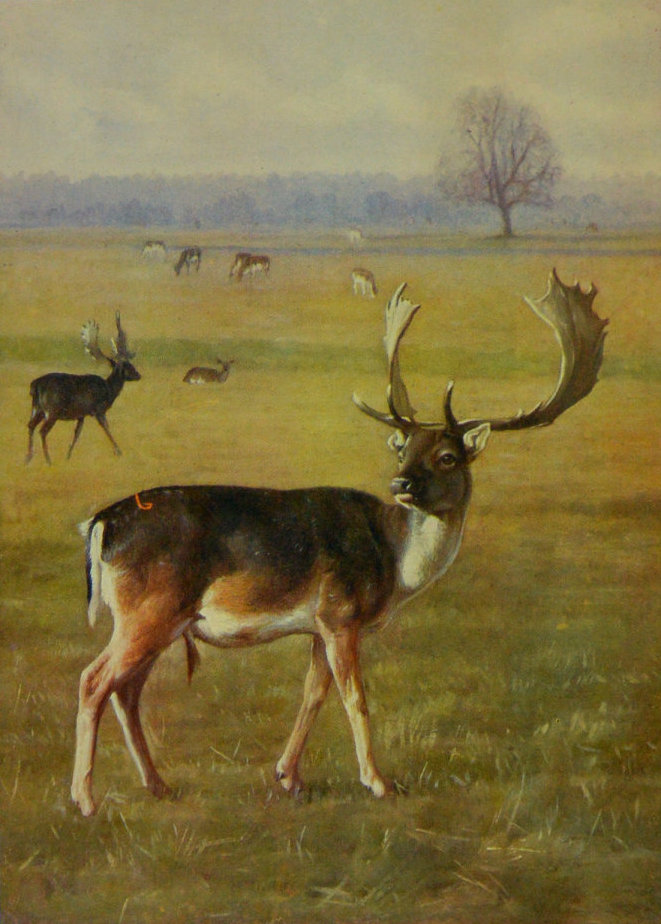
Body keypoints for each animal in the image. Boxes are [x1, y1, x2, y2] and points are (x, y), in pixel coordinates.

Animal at [26, 313, 140, 465]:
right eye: (128, 366)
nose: (139, 375)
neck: (109, 390)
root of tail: (35, 385)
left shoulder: (81, 414)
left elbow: (77, 434)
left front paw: (68, 455)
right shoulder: (98, 409)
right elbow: (107, 428)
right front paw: (119, 451)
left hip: (37, 408)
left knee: (30, 426)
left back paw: (28, 458)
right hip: (52, 410)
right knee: (42, 431)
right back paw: (48, 460)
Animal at [70, 270, 607, 817]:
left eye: (448, 456)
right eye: (401, 448)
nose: (401, 483)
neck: (394, 562)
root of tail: (100, 523)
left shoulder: (317, 625)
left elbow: (313, 694)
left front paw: (288, 776)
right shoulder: (341, 614)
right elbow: (356, 699)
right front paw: (378, 782)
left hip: (158, 618)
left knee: (126, 690)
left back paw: (158, 785)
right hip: (150, 609)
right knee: (94, 680)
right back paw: (85, 798)